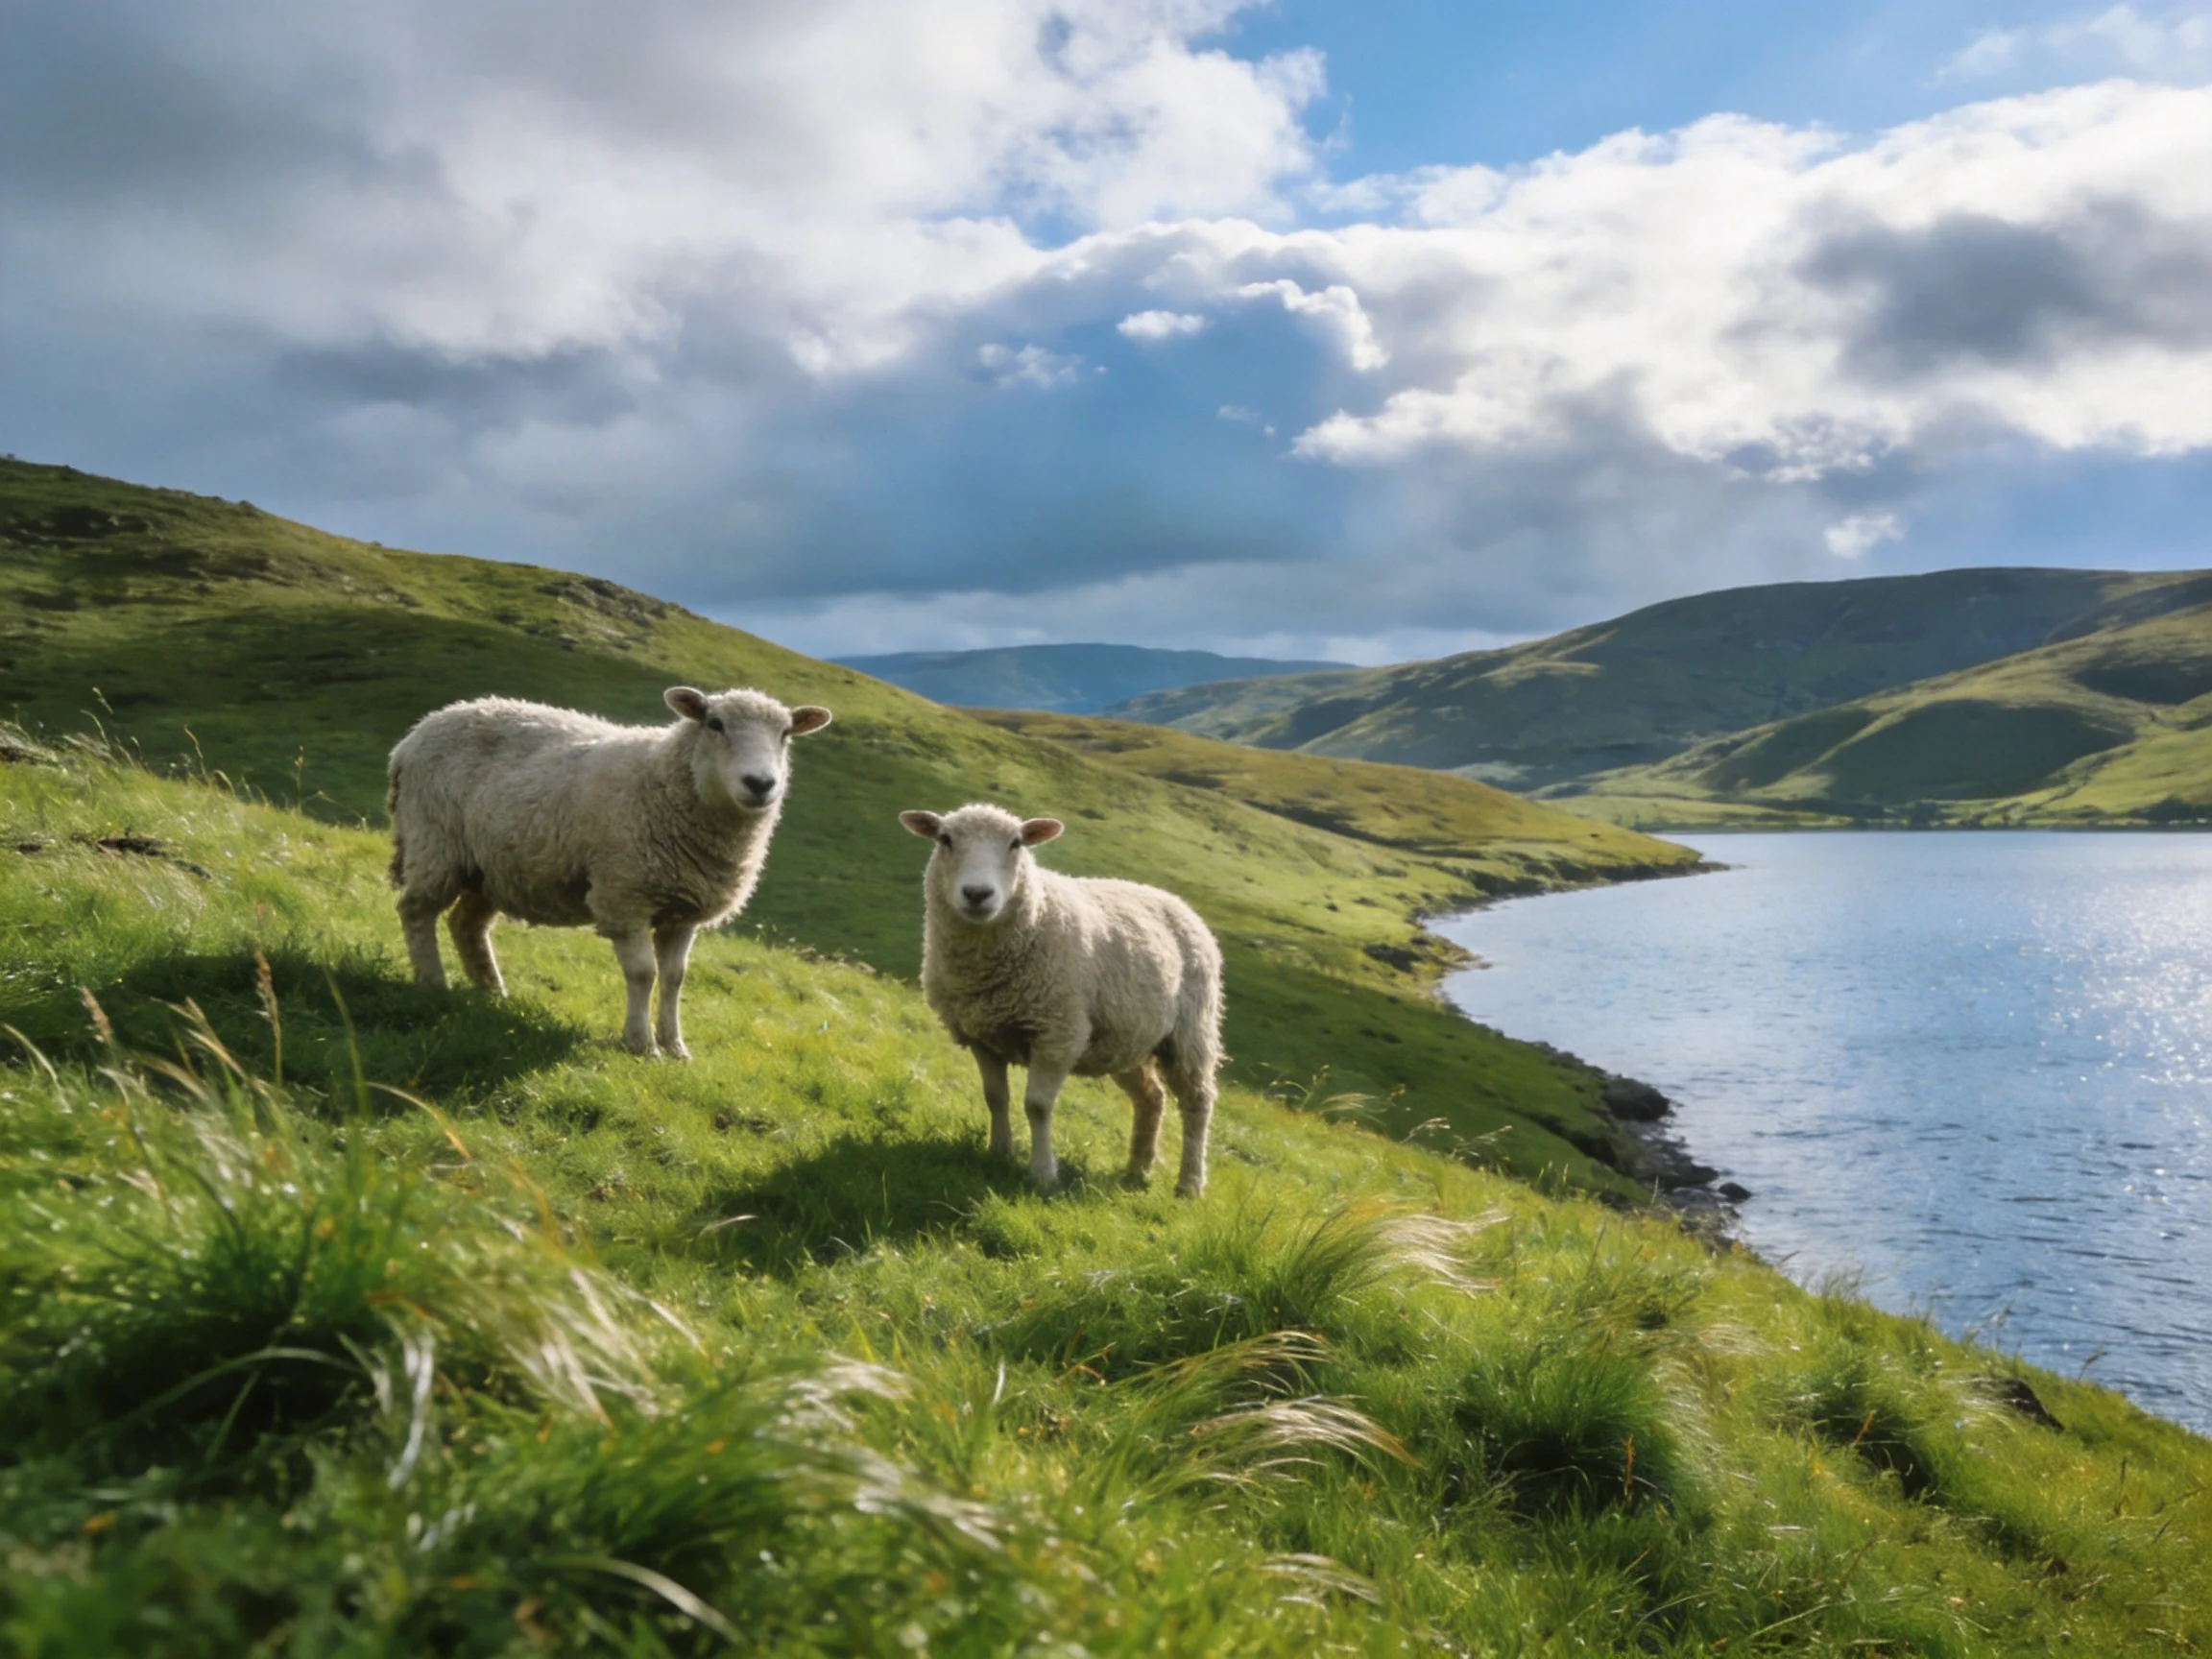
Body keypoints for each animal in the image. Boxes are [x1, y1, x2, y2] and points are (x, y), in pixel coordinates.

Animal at [387, 687, 832, 1057]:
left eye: (786, 733)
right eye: (715, 724)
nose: (760, 783)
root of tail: (414, 735)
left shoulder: (683, 911)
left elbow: (675, 978)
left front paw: (675, 1047)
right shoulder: (624, 896)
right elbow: (643, 973)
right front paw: (640, 1044)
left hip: (493, 869)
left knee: (467, 925)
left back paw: (494, 993)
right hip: (436, 841)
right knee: (416, 910)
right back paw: (432, 983)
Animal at [899, 802, 1224, 1196]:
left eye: (1016, 843)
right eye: (945, 839)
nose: (977, 894)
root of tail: (1175, 901)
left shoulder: (1058, 1032)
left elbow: (1037, 1106)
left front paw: (1042, 1173)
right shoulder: (982, 1036)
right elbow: (996, 1098)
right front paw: (999, 1153)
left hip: (1190, 1031)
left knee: (1197, 1101)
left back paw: (1189, 1184)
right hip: (1126, 1039)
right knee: (1151, 1097)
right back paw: (1137, 1170)